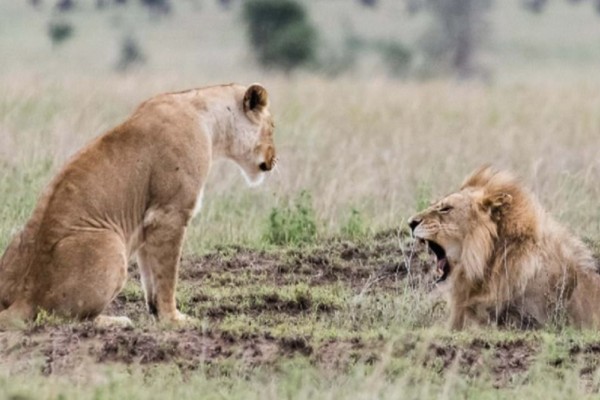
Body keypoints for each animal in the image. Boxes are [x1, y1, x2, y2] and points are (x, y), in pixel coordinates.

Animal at [0, 82, 276, 328]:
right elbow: (168, 276)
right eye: (272, 128)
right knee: (66, 318)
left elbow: (151, 277)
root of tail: (25, 294)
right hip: (111, 244)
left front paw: (157, 313)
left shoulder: (148, 220)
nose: (275, 159)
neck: (212, 121)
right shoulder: (170, 213)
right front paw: (174, 319)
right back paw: (116, 321)